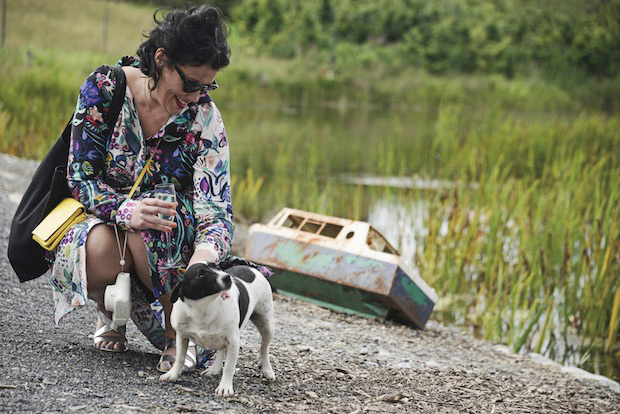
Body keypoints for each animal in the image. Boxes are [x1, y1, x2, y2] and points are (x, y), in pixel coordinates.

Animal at [160, 264, 276, 396]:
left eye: (217, 268)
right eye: (201, 274)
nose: (228, 277)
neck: (203, 308)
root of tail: (250, 268)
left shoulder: (233, 341)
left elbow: (229, 367)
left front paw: (225, 386)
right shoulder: (182, 336)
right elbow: (179, 358)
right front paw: (172, 374)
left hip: (267, 326)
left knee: (264, 348)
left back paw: (267, 369)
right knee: (222, 350)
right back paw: (214, 369)